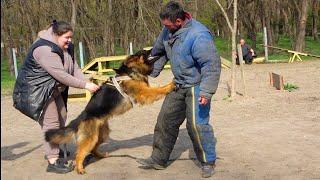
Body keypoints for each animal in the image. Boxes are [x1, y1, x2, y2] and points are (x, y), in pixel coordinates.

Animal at [45, 49, 175, 174]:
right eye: (143, 53)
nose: (152, 48)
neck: (131, 71)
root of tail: (81, 117)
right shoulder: (144, 92)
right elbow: (158, 89)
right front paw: (171, 85)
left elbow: (158, 88)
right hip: (91, 138)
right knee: (80, 153)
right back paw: (80, 168)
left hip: (101, 135)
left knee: (93, 149)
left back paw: (101, 155)